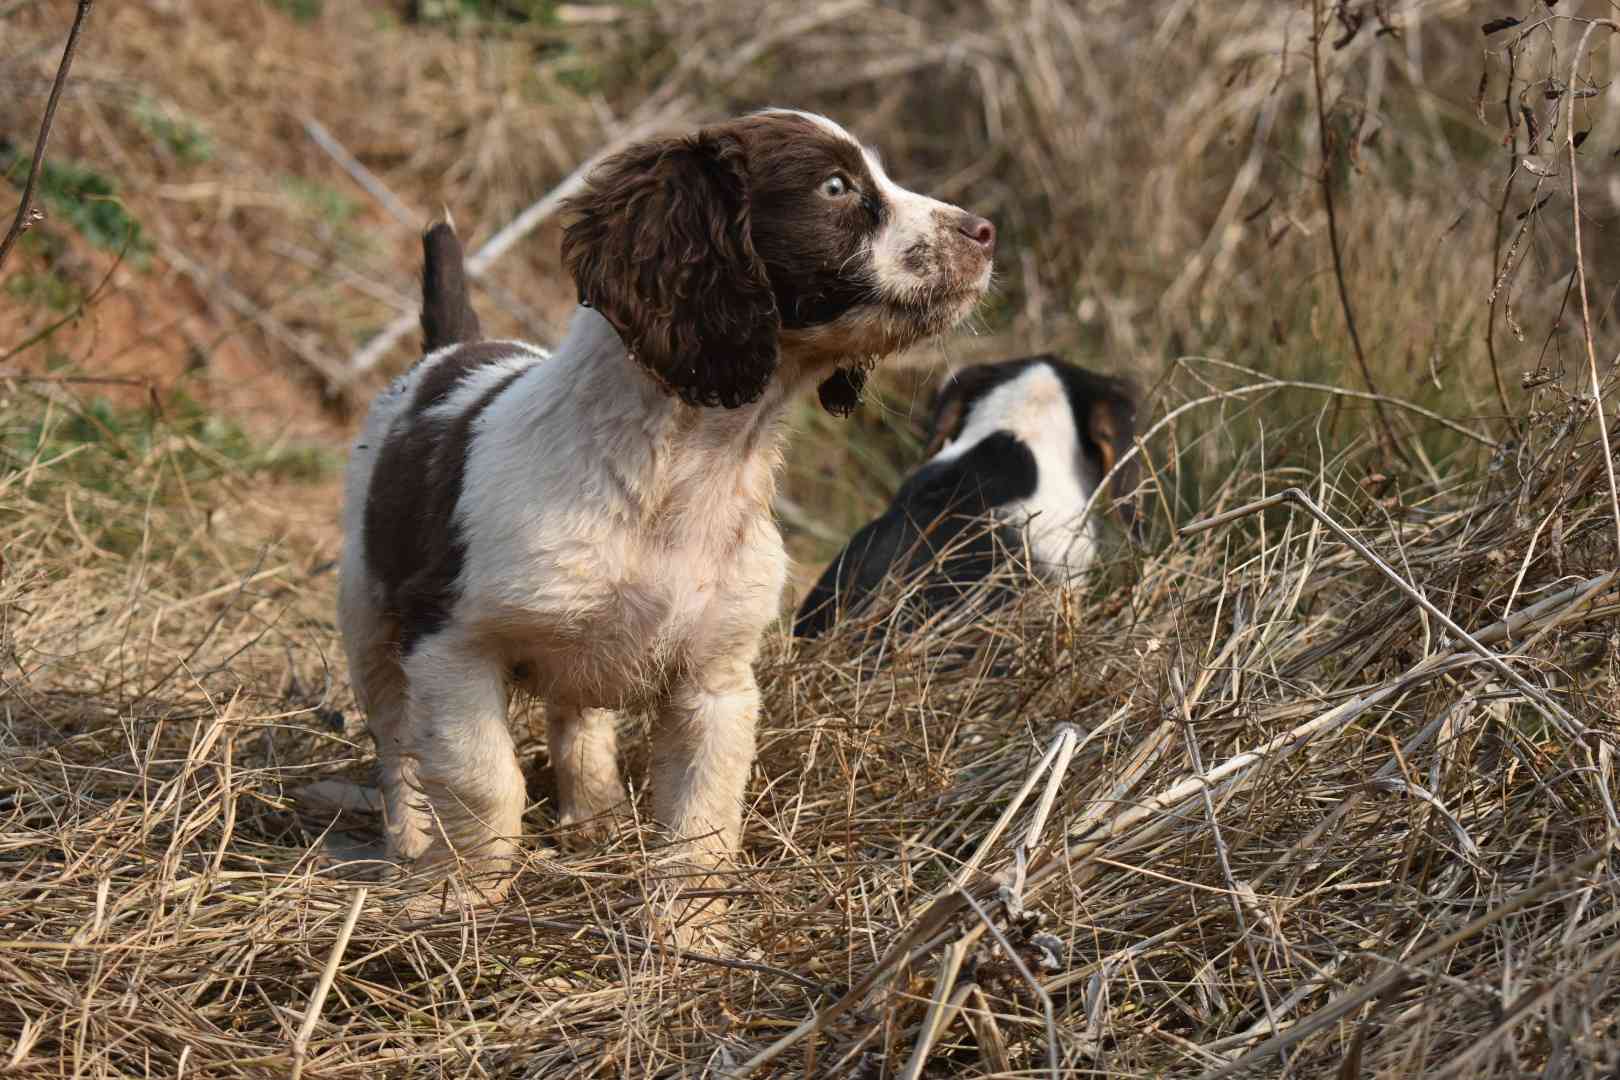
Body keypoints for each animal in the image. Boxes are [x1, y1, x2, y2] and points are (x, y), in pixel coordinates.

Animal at [335, 110, 991, 926]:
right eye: (837, 187)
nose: (985, 231)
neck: (685, 467)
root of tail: (453, 348)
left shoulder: (718, 681)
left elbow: (702, 818)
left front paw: (689, 932)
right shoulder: (451, 642)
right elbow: (486, 783)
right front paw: (458, 894)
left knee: (577, 717)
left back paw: (595, 816)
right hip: (366, 617)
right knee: (396, 741)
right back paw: (411, 841)